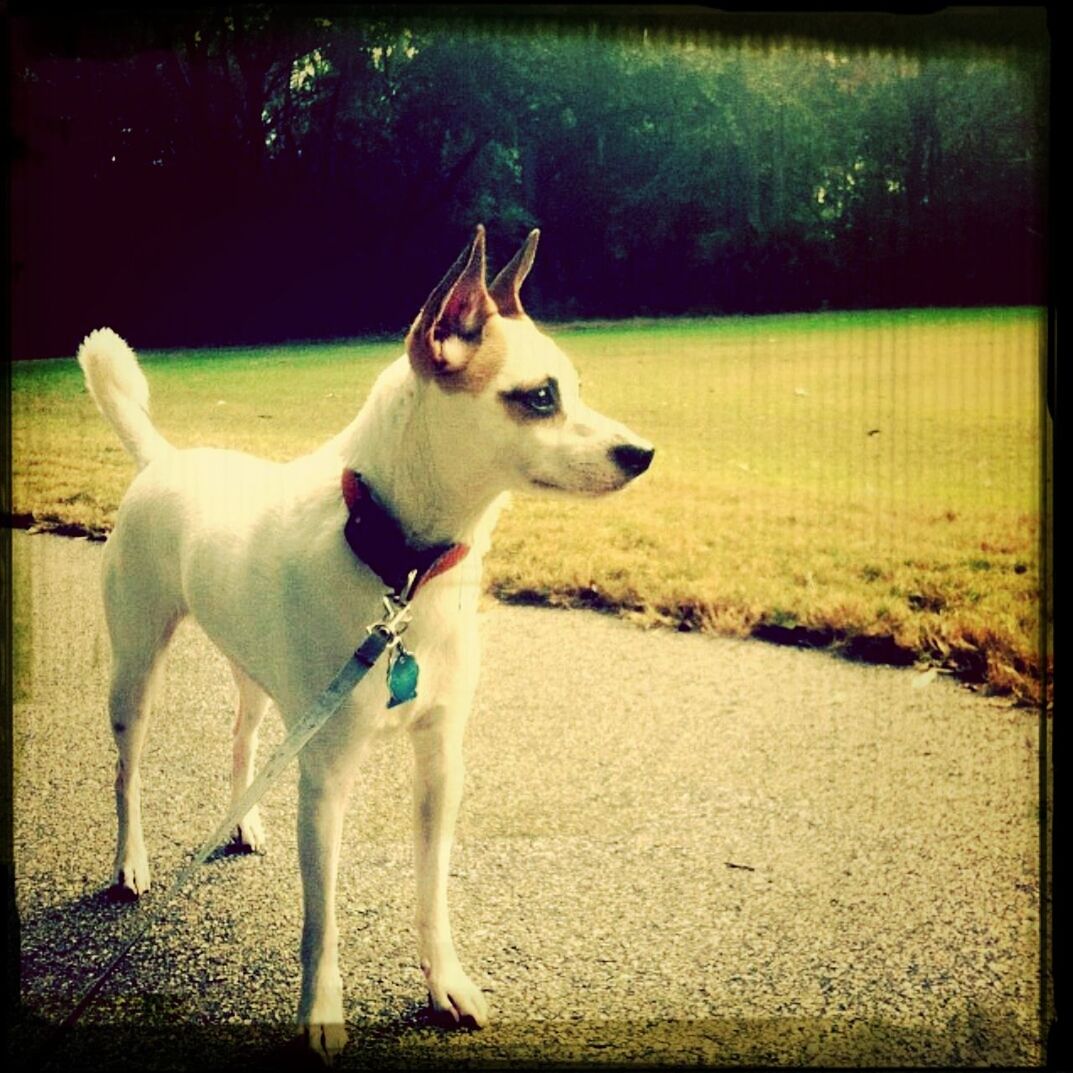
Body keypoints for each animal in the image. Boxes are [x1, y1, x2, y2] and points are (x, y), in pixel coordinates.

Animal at [77, 224, 652, 1055]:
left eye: (573, 386)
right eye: (539, 397)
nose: (642, 453)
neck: (397, 564)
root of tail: (164, 458)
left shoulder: (441, 762)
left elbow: (430, 890)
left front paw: (444, 980)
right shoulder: (327, 778)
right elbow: (321, 919)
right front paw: (320, 1009)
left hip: (258, 672)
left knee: (243, 735)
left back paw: (242, 815)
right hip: (135, 674)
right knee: (127, 773)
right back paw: (131, 861)